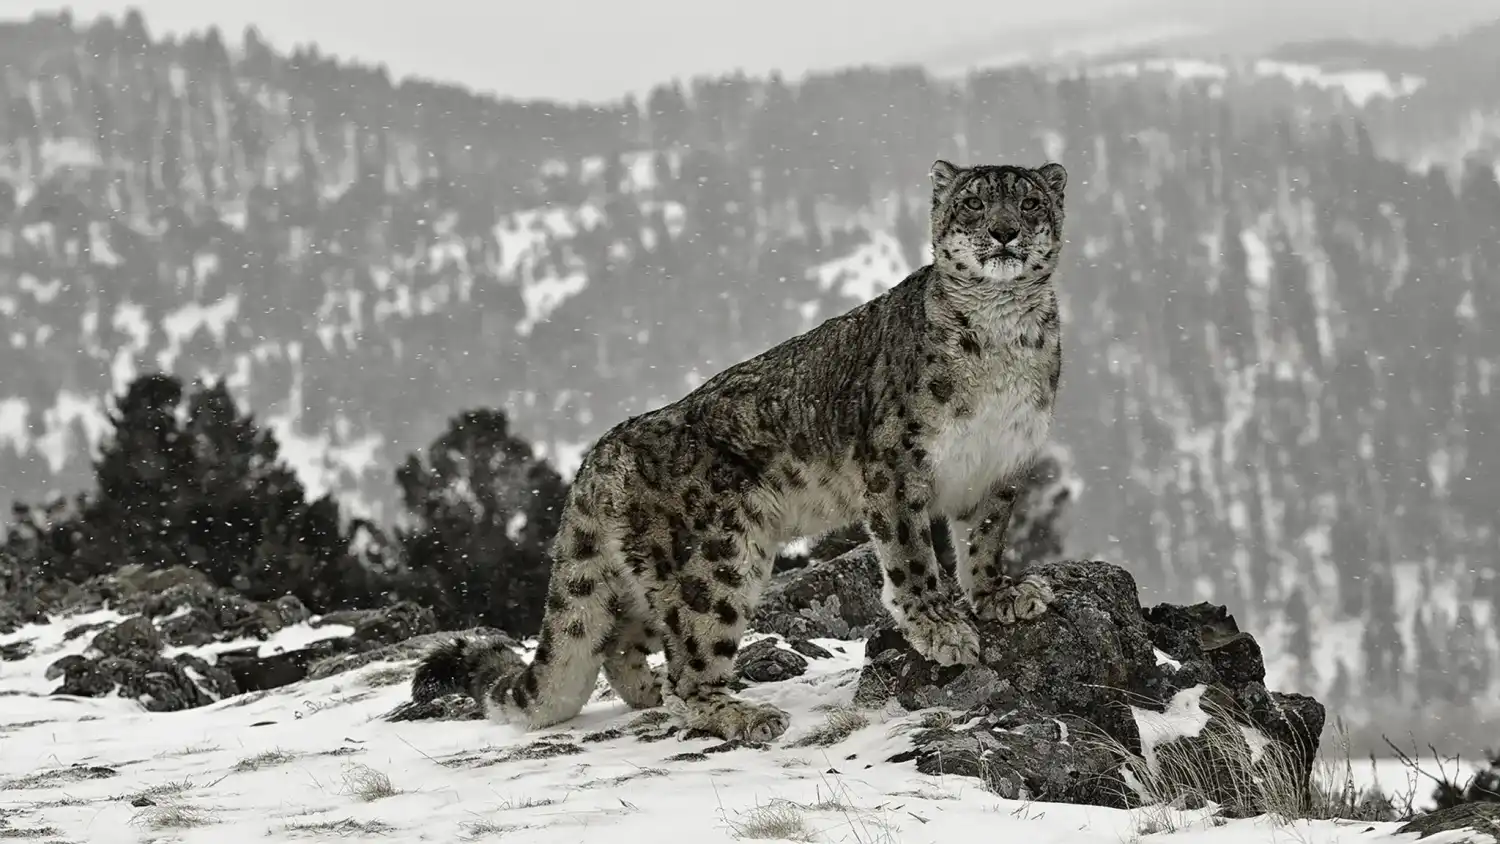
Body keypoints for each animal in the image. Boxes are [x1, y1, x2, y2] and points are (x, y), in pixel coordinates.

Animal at [411, 158, 1068, 740]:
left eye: (1030, 202)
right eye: (974, 203)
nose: (1004, 231)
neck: (1003, 337)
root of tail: (600, 453)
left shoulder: (1002, 463)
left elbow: (984, 538)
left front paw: (1000, 595)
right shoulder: (896, 466)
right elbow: (911, 555)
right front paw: (940, 626)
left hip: (652, 577)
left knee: (618, 639)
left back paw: (651, 690)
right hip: (717, 556)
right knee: (689, 659)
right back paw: (737, 713)